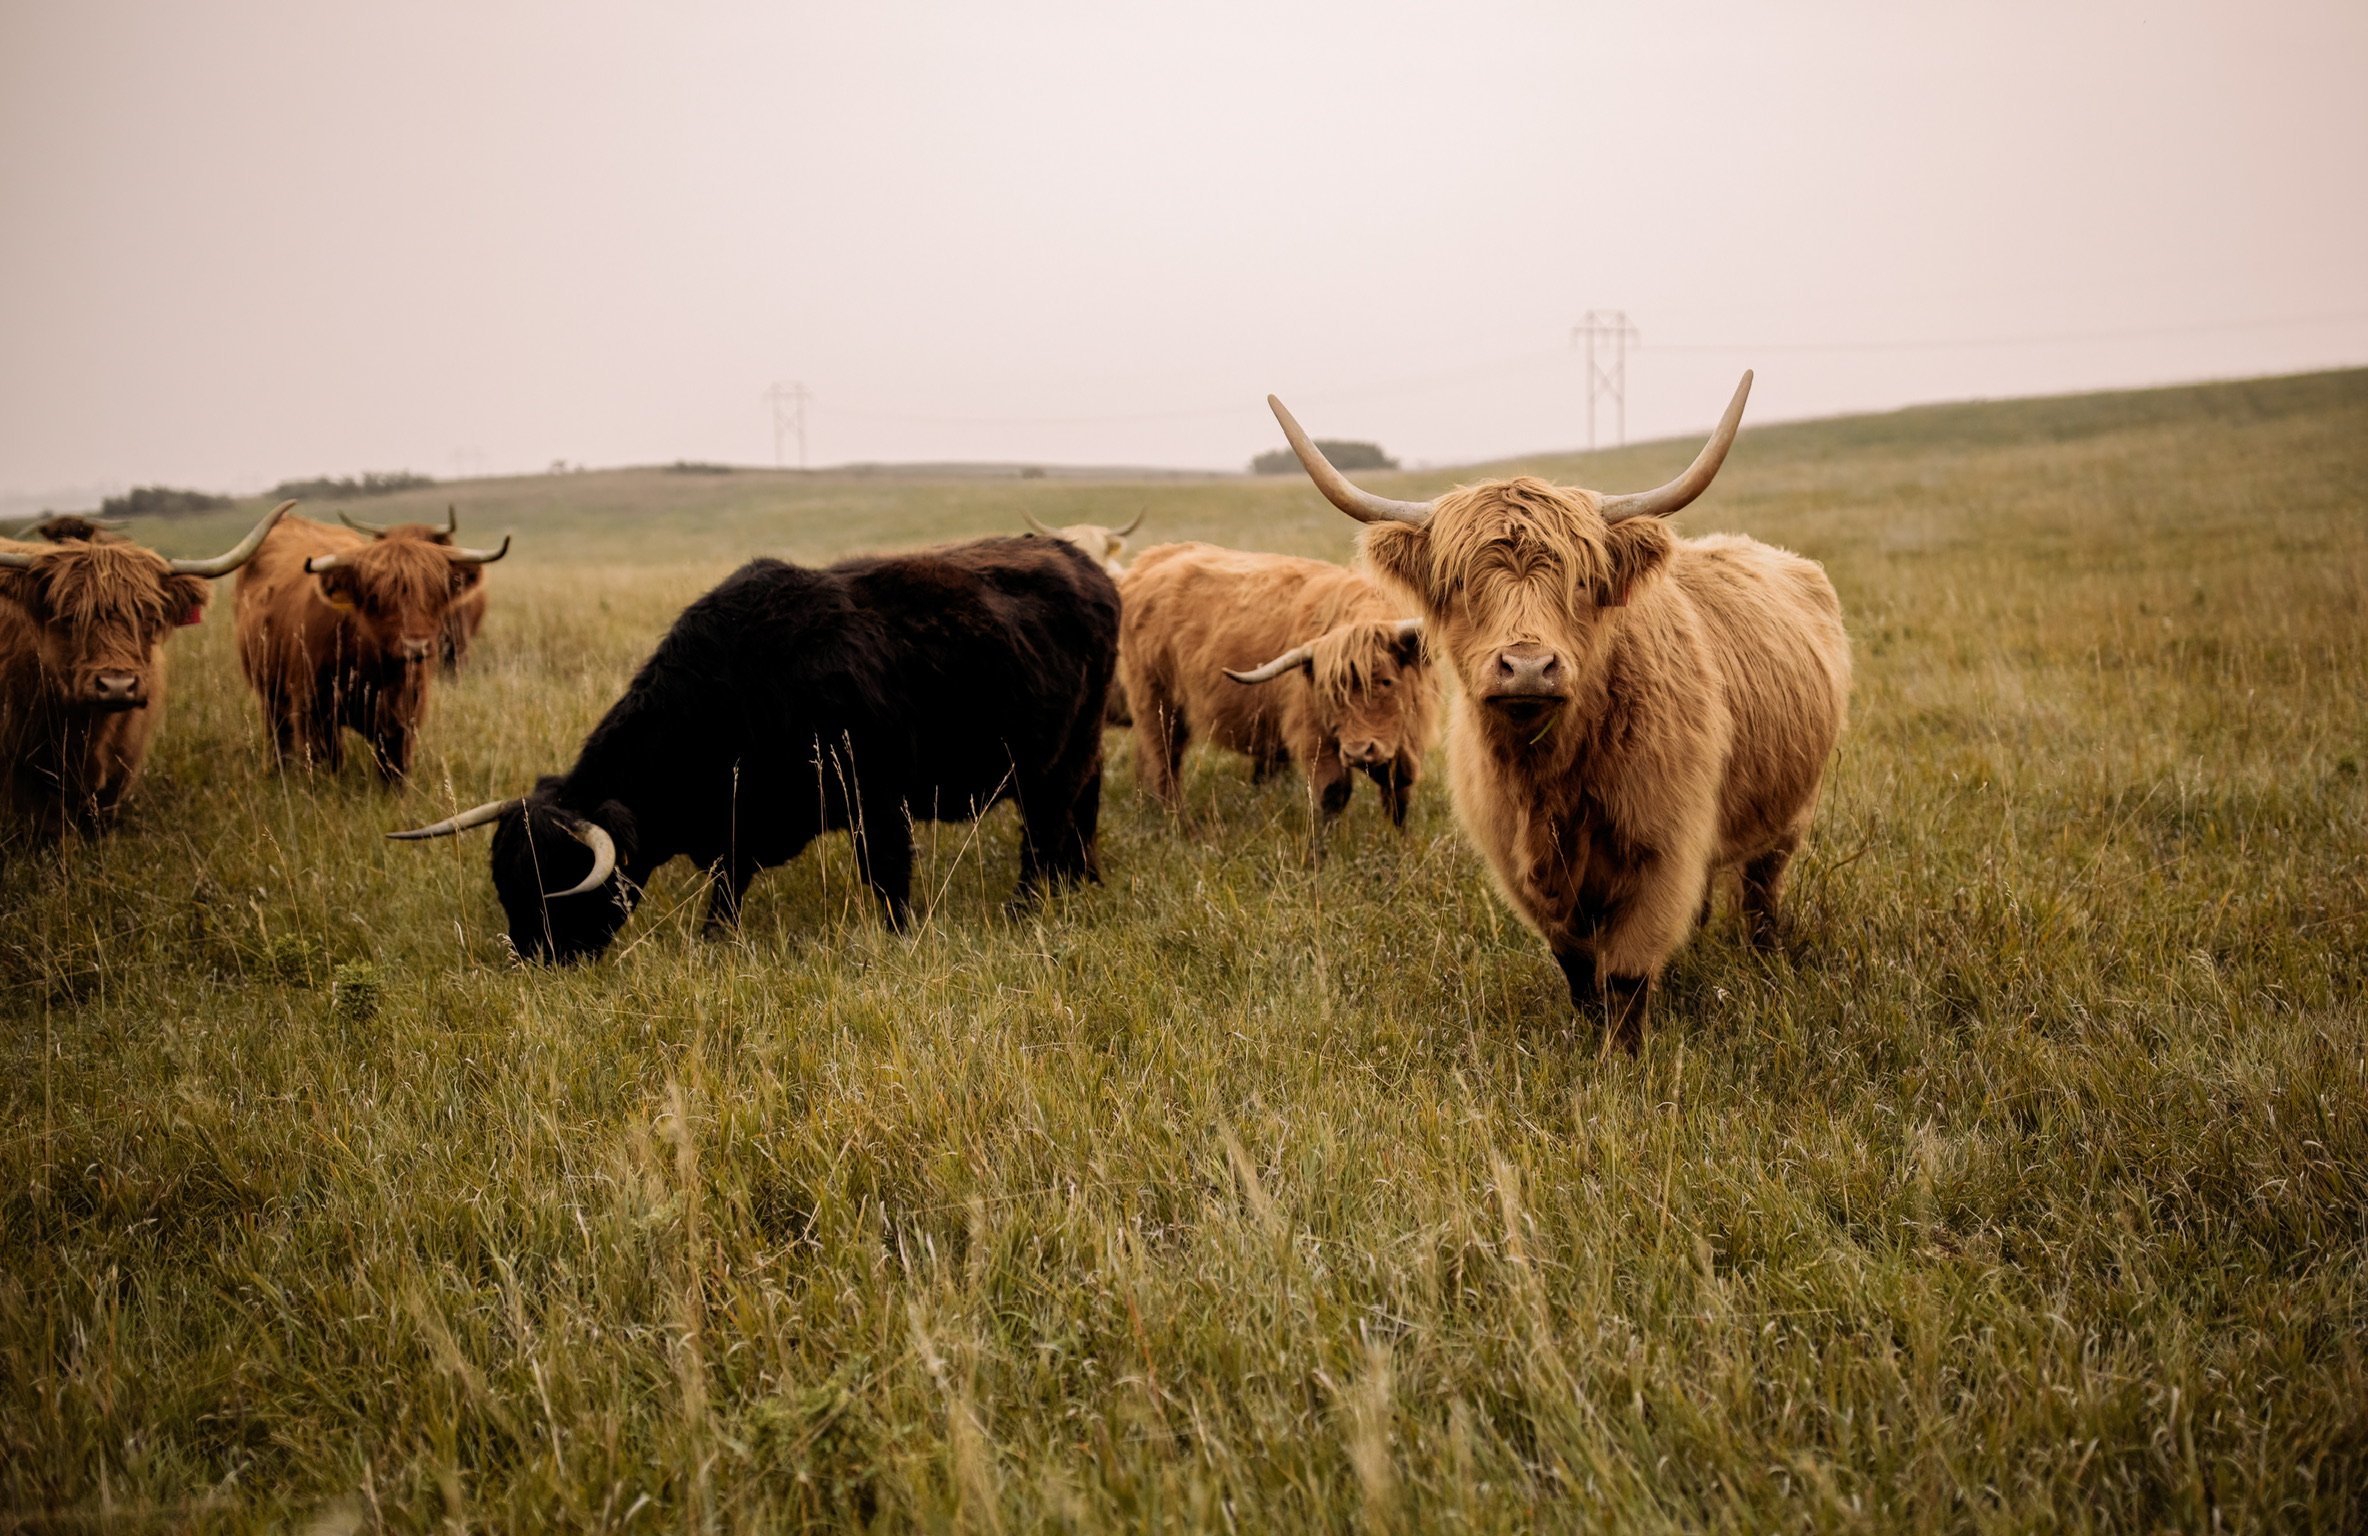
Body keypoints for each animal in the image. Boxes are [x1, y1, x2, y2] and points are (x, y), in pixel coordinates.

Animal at [389, 536, 1119, 964]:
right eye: (506, 881)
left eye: (556, 886)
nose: (533, 960)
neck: (741, 682)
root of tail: (1084, 562)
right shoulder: (737, 826)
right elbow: (728, 887)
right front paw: (716, 939)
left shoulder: (877, 803)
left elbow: (887, 881)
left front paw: (899, 937)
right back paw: (1079, 882)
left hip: (1061, 757)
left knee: (1047, 829)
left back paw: (1028, 905)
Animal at [1117, 541, 1434, 839]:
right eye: (1330, 694)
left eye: (1387, 682)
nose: (1358, 752)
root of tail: (1149, 560)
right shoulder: (1314, 735)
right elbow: (1333, 793)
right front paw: (1325, 848)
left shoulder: (1408, 737)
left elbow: (1398, 794)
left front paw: (1399, 841)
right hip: (1156, 701)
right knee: (1165, 762)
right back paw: (1180, 824)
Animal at [1268, 372, 1850, 1047]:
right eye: (1461, 584)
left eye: (1579, 581)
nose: (1527, 666)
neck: (1549, 779)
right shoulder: (1519, 867)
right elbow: (1575, 964)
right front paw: (1587, 1030)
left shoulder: (1662, 851)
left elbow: (1625, 976)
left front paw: (1622, 1059)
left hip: (1789, 815)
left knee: (1762, 891)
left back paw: (1765, 956)